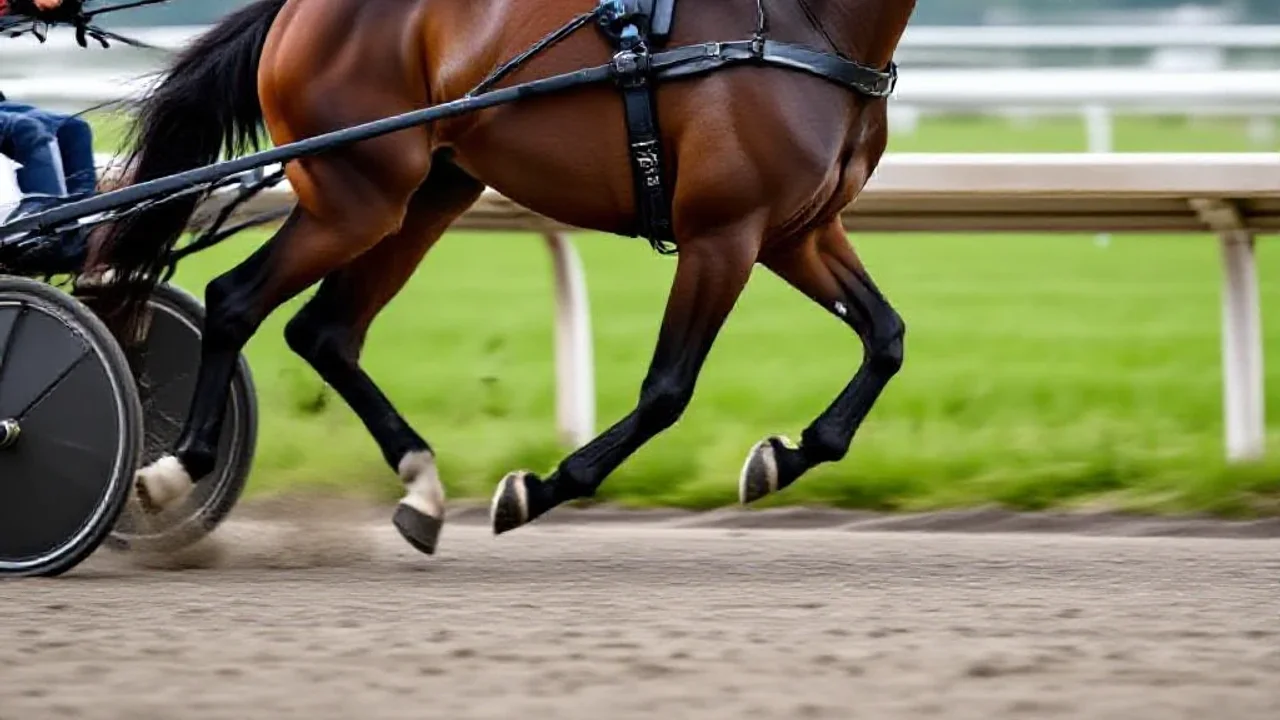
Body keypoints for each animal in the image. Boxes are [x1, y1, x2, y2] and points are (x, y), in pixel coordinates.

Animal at [89, 0, 917, 555]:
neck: (799, 24)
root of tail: (295, 10)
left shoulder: (797, 232)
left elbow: (887, 339)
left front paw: (786, 455)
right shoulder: (723, 235)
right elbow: (667, 390)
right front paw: (540, 488)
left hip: (425, 191)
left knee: (325, 329)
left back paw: (421, 486)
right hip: (354, 195)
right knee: (235, 301)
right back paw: (174, 471)